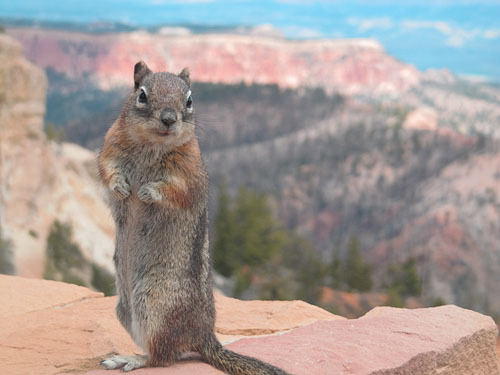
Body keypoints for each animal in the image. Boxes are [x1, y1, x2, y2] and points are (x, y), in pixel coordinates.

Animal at [97, 62, 288, 375]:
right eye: (142, 94)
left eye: (188, 100)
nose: (168, 119)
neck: (150, 145)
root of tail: (204, 335)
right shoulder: (110, 147)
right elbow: (108, 171)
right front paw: (122, 188)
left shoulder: (188, 171)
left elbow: (174, 191)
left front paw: (147, 192)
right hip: (125, 309)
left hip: (155, 306)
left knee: (163, 356)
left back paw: (130, 358)